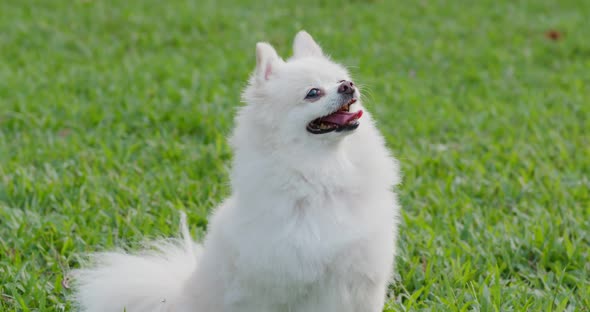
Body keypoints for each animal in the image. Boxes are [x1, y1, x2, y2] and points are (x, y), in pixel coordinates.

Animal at [71, 31, 400, 312]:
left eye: (343, 79)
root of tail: (177, 295)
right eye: (313, 93)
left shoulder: (363, 280)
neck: (325, 173)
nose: (349, 86)